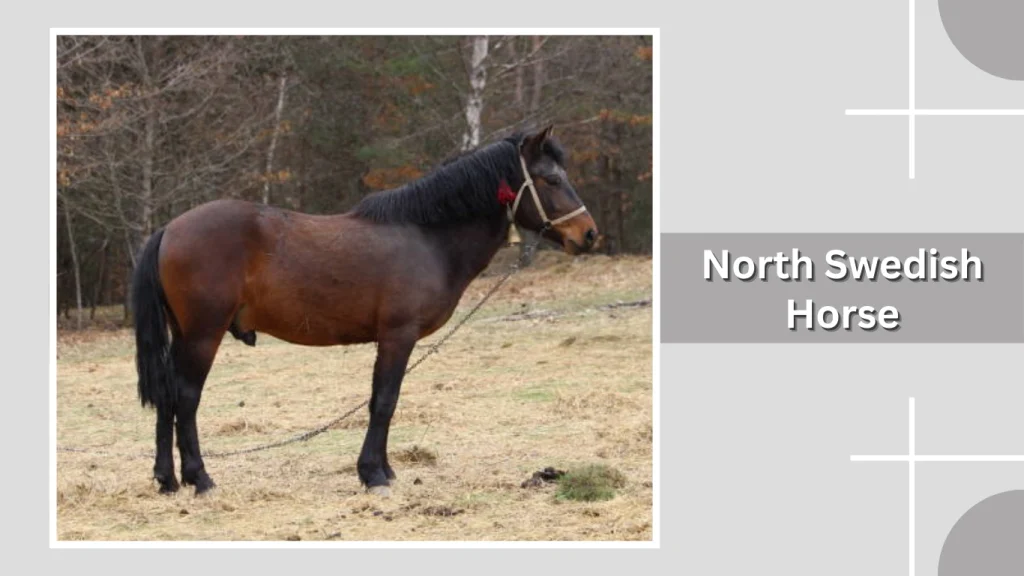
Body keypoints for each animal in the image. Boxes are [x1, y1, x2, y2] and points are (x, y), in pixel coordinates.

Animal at [131, 125, 598, 496]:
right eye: (551, 179)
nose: (590, 234)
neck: (426, 237)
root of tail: (169, 228)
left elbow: (379, 400)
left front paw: (384, 469)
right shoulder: (397, 336)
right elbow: (385, 401)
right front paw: (373, 474)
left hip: (183, 335)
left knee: (168, 397)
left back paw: (167, 480)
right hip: (202, 335)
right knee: (186, 397)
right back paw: (200, 479)